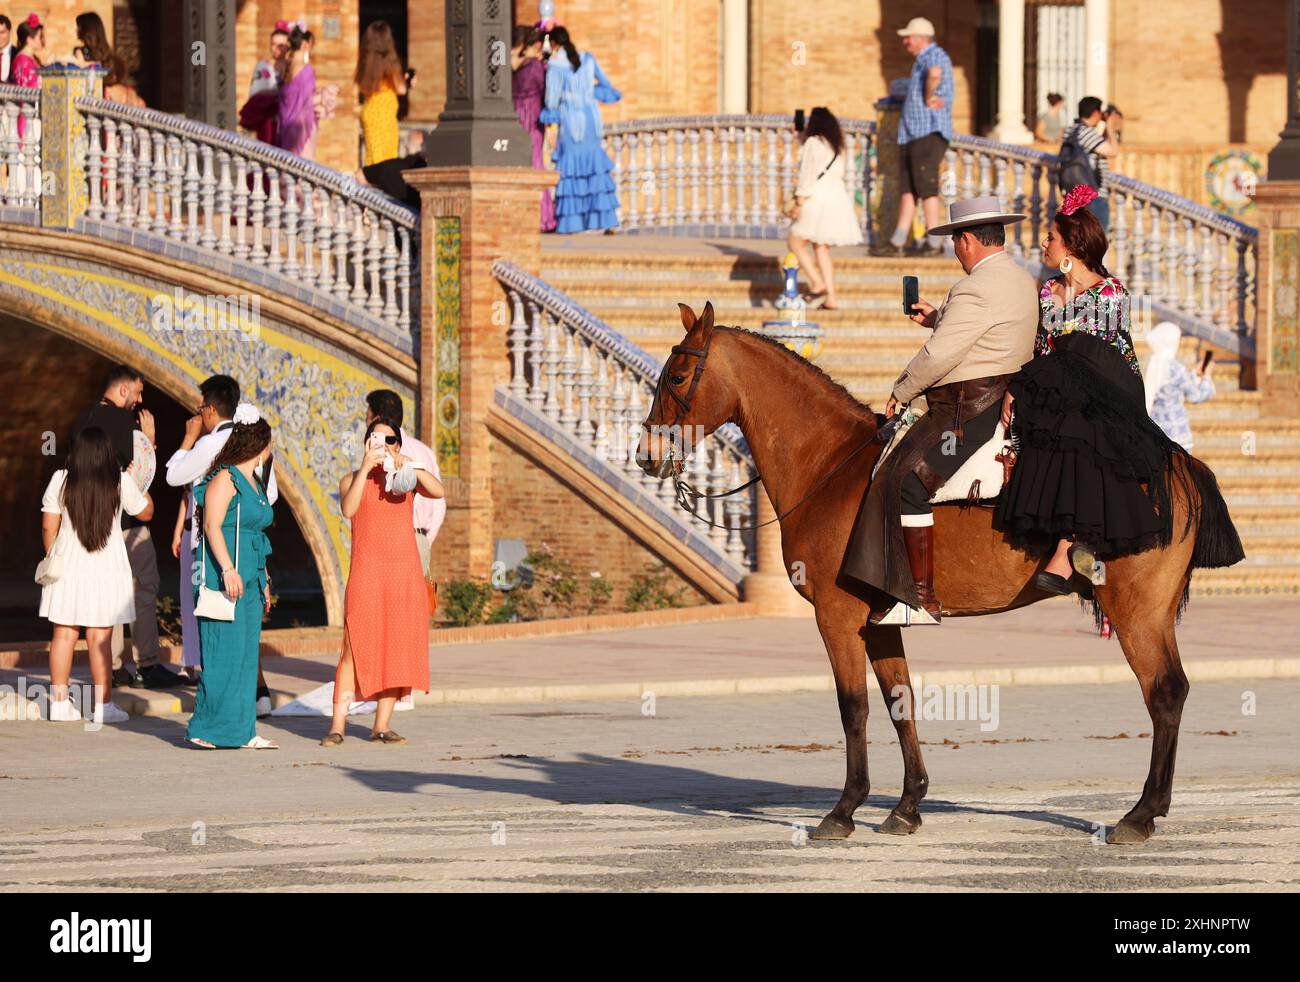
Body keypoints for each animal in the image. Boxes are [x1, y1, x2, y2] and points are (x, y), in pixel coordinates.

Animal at [636, 302, 1241, 845]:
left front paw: (844, 809)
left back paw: (1140, 814)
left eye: (680, 375)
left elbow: (852, 707)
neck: (833, 465)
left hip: (1136, 610)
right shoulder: (878, 622)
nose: (645, 454)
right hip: (1152, 611)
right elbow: (898, 700)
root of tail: (1175, 462)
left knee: (1163, 693)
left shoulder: (837, 617)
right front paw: (907, 805)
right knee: (1174, 690)